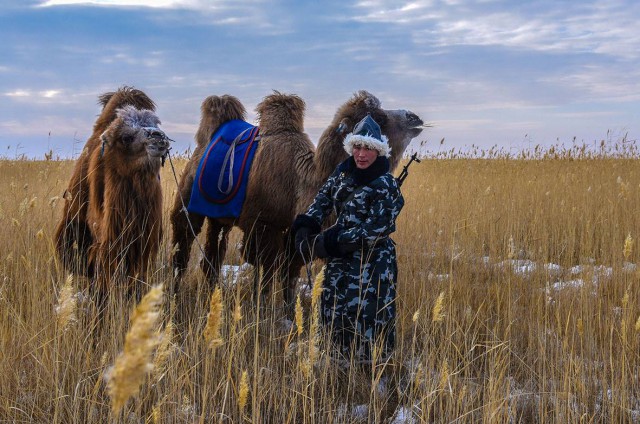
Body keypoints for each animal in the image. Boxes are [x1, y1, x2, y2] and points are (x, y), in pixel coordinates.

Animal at [56, 87, 170, 304]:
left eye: (155, 125)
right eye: (126, 137)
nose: (159, 138)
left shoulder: (141, 245)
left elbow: (135, 283)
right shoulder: (103, 242)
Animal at [169, 91, 424, 314]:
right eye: (378, 118)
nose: (415, 118)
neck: (300, 182)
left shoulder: (293, 234)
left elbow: (289, 274)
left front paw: (289, 313)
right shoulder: (263, 225)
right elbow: (267, 273)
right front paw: (262, 310)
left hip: (220, 217)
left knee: (213, 253)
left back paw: (212, 293)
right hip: (187, 200)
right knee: (183, 242)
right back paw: (175, 292)